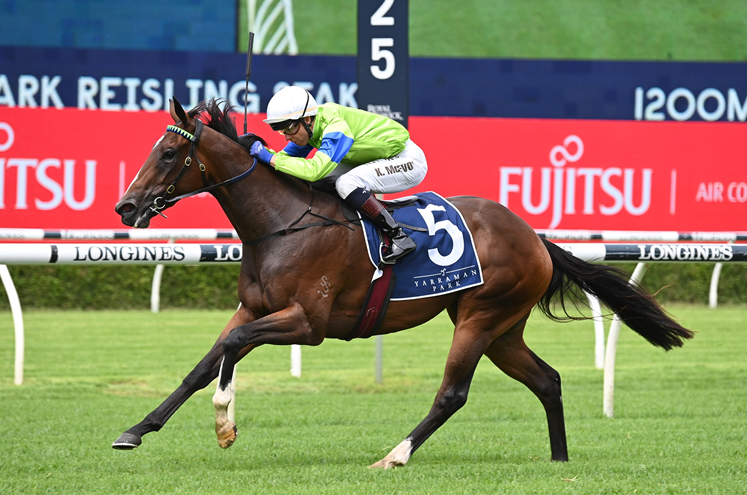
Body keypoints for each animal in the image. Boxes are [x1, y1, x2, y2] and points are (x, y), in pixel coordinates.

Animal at [112, 98, 694, 468]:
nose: (126, 208)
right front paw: (135, 431)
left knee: (452, 394)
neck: (280, 222)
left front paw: (224, 425)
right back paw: (559, 459)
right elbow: (201, 367)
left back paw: (393, 456)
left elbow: (231, 349)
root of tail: (533, 236)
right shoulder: (253, 309)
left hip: (481, 316)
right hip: (502, 327)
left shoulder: (307, 323)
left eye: (169, 153)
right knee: (547, 380)